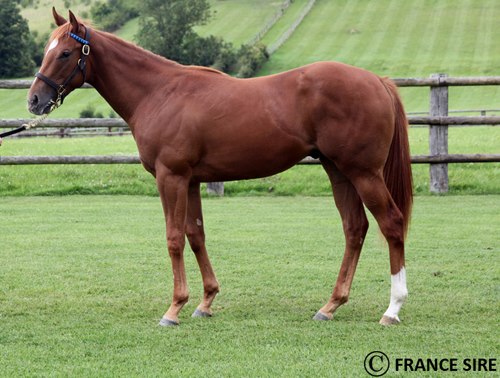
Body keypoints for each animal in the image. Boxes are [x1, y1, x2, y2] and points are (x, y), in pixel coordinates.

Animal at [26, 9, 414, 328]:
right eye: (46, 49)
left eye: (64, 53)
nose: (34, 100)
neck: (159, 93)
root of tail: (376, 81)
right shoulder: (191, 181)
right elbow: (195, 235)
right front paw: (205, 302)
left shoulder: (171, 177)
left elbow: (174, 239)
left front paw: (174, 308)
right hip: (338, 171)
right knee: (355, 228)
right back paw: (331, 305)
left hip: (363, 172)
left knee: (391, 224)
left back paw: (392, 309)